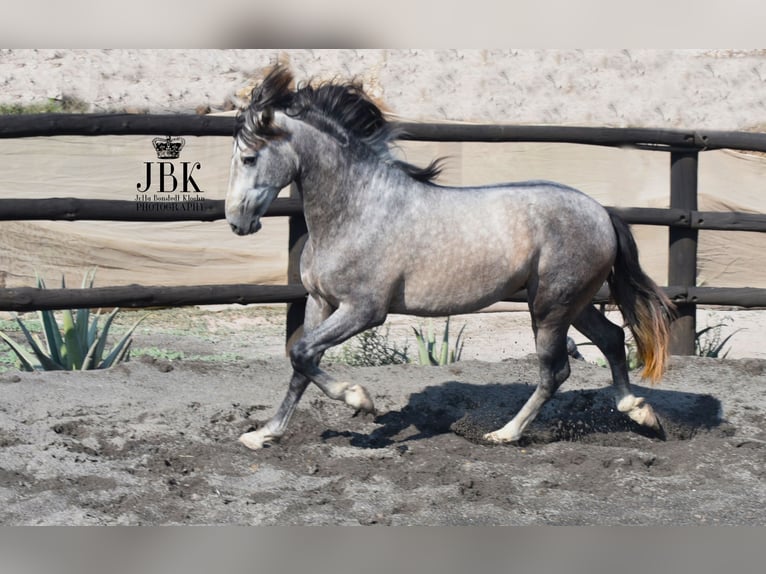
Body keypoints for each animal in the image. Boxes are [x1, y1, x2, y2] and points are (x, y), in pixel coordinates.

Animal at [225, 67, 676, 452]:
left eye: (249, 158)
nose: (236, 221)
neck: (358, 210)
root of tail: (602, 212)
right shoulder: (320, 302)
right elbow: (301, 365)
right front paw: (264, 434)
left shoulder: (364, 310)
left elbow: (303, 355)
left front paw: (360, 400)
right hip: (571, 304)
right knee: (611, 339)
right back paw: (640, 413)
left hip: (550, 308)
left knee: (556, 371)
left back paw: (505, 434)